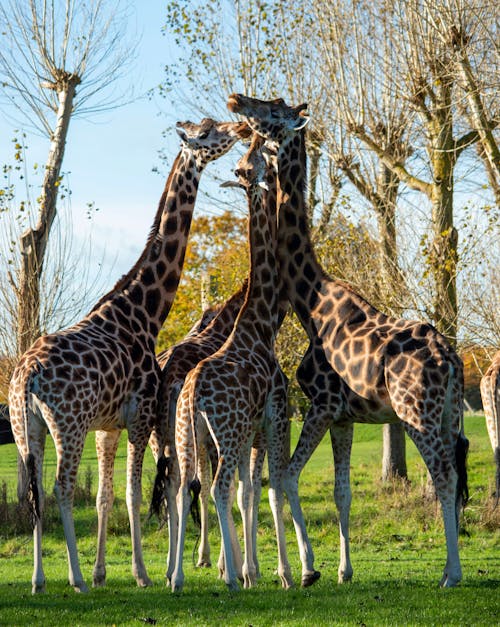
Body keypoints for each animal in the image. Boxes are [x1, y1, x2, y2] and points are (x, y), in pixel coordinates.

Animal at [7, 116, 250, 592]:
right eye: (209, 133)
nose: (241, 128)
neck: (143, 312)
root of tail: (25, 377)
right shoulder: (137, 417)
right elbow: (132, 493)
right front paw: (140, 573)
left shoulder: (107, 427)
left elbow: (104, 495)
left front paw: (103, 571)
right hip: (68, 424)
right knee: (62, 487)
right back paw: (74, 578)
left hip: (26, 427)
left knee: (34, 487)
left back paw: (39, 579)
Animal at [171, 132, 292, 592]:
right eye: (252, 163)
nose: (260, 139)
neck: (259, 325)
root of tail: (192, 396)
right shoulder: (271, 416)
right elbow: (268, 489)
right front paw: (285, 572)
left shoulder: (246, 431)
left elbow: (248, 493)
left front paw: (245, 566)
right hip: (226, 431)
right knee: (218, 487)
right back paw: (230, 581)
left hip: (188, 437)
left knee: (185, 487)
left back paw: (177, 577)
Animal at [229, 92, 470, 588]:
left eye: (272, 113)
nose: (237, 99)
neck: (310, 302)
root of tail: (453, 362)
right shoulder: (344, 417)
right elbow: (341, 493)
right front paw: (342, 570)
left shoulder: (321, 403)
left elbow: (286, 477)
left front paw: (305, 570)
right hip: (448, 413)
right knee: (454, 470)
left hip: (415, 412)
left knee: (442, 474)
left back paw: (451, 574)